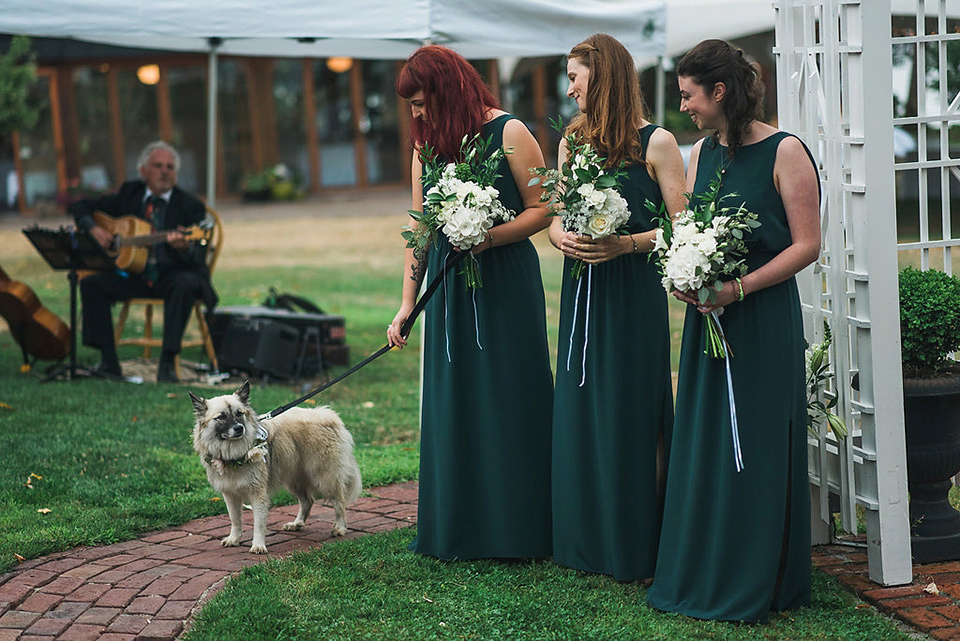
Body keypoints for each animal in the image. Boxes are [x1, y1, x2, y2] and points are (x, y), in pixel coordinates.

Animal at [189, 380, 362, 552]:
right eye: (221, 417)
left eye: (239, 414)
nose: (239, 428)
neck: (233, 455)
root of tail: (328, 416)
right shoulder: (230, 495)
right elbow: (235, 520)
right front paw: (234, 539)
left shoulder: (258, 494)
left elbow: (258, 524)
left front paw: (258, 545)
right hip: (295, 480)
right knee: (307, 501)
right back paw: (297, 524)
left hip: (324, 479)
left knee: (339, 502)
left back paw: (340, 528)